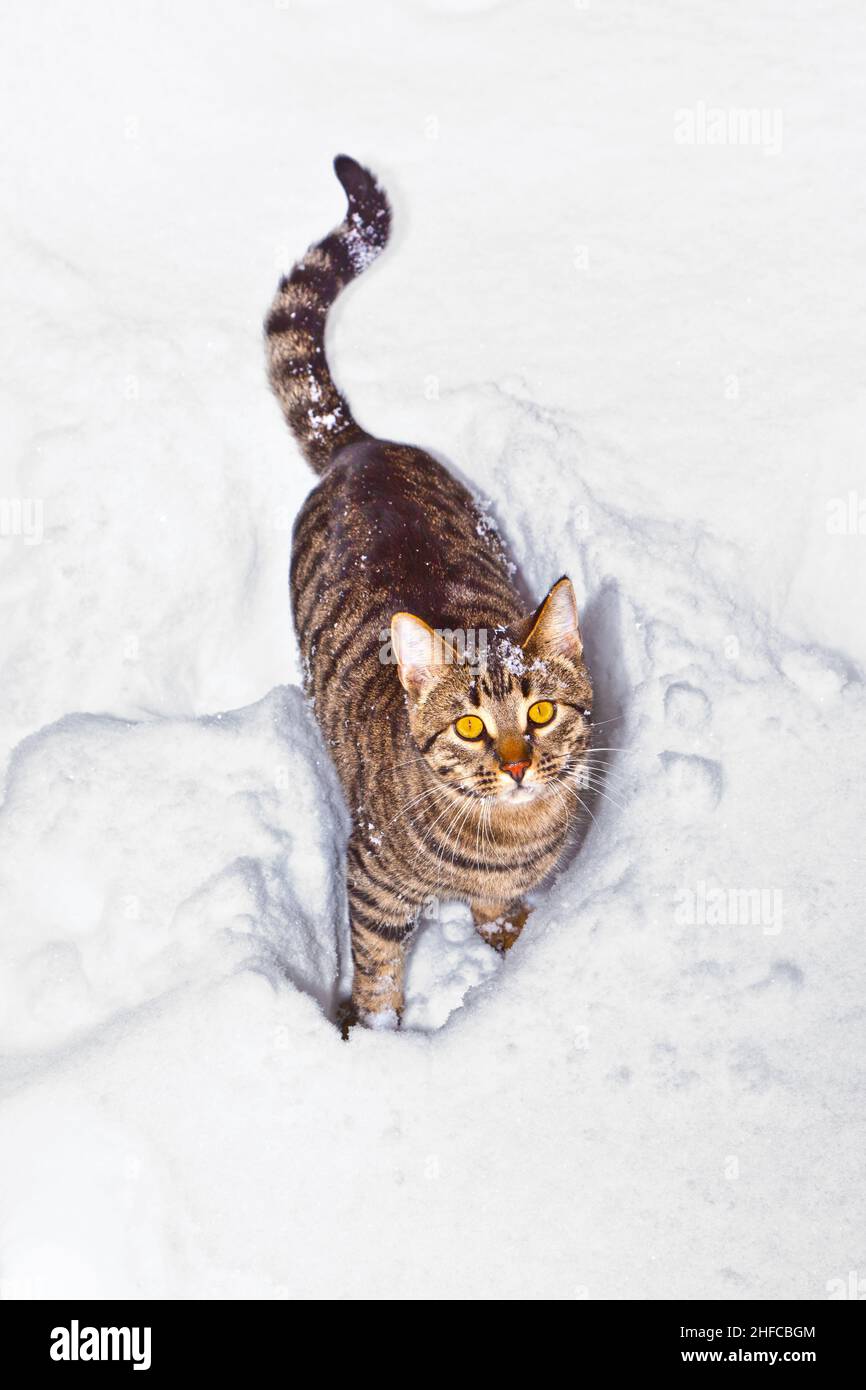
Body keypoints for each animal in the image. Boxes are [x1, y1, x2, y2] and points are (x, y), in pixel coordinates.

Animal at [264, 157, 592, 1028]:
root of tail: (361, 447)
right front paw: (378, 1036)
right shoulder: (372, 880)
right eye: (471, 726)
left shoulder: (507, 886)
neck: (507, 838)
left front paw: (507, 955)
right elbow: (379, 975)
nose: (517, 766)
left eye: (540, 712)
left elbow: (500, 919)